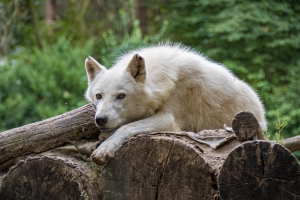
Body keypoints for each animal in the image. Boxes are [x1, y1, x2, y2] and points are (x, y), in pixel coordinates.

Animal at [85, 44, 268, 165]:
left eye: (121, 96)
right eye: (99, 96)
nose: (100, 119)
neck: (165, 81)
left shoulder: (169, 119)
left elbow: (127, 127)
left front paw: (104, 149)